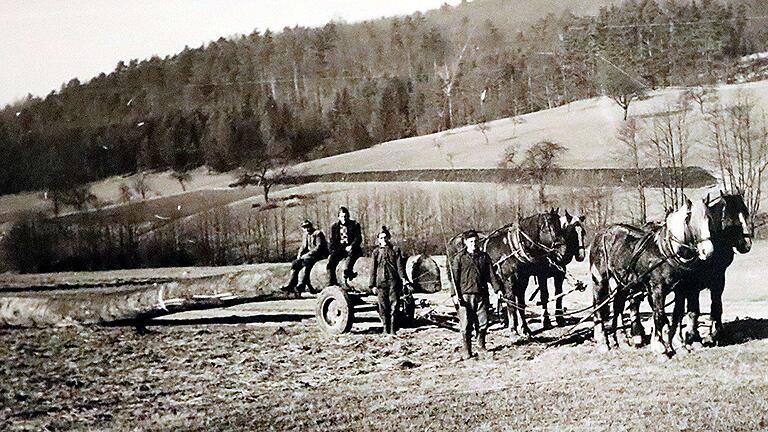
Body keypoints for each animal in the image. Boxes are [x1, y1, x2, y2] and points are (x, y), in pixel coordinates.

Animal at [444, 209, 568, 338]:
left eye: (560, 225)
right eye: (549, 227)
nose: (563, 250)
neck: (513, 247)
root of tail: (452, 241)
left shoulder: (523, 281)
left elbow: (521, 304)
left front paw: (525, 329)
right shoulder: (509, 280)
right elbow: (511, 303)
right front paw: (513, 329)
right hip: (455, 279)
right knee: (459, 300)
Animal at [588, 197, 712, 356]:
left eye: (709, 219)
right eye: (690, 220)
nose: (707, 251)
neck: (666, 251)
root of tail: (602, 232)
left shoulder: (681, 289)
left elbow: (677, 314)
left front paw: (676, 343)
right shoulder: (657, 288)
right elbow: (659, 313)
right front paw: (660, 346)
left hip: (623, 282)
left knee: (617, 306)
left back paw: (617, 341)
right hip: (599, 278)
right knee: (598, 305)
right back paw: (603, 341)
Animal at [676, 191, 752, 346]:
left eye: (746, 213)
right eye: (730, 218)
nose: (746, 244)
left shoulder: (719, 278)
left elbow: (717, 306)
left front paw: (717, 333)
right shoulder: (693, 283)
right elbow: (694, 309)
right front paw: (692, 335)